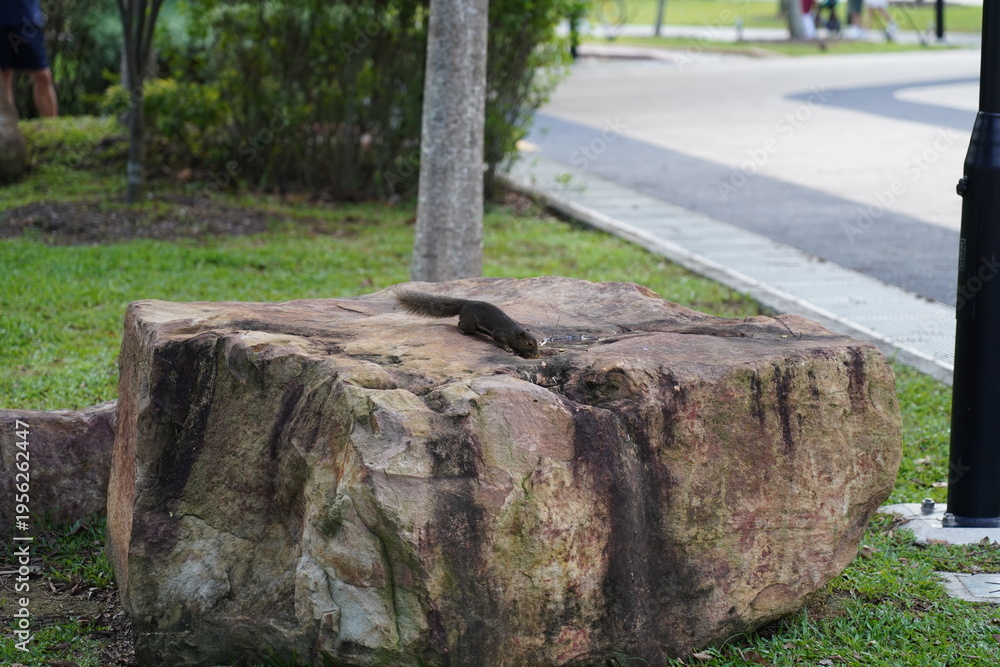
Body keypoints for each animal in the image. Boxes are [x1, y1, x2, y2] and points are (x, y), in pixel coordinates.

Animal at [394, 290, 539, 359]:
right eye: (529, 344)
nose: (536, 354)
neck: (514, 332)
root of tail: (465, 303)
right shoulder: (501, 333)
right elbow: (499, 339)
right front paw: (508, 348)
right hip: (470, 323)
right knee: (460, 323)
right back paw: (461, 331)